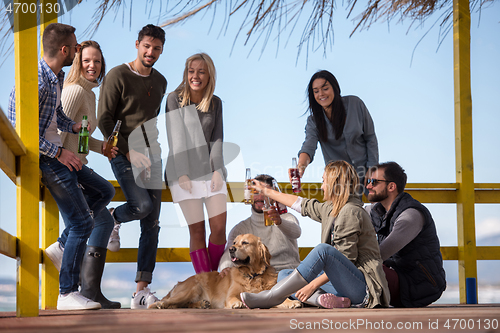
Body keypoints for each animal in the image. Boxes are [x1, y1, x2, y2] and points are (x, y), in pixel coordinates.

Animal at [149, 233, 300, 308]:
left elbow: (281, 298)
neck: (252, 275)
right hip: (191, 289)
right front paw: (237, 303)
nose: (231, 249)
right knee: (172, 302)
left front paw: (291, 302)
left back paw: (202, 304)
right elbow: (233, 298)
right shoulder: (230, 294)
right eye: (234, 243)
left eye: (245, 243)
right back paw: (161, 304)